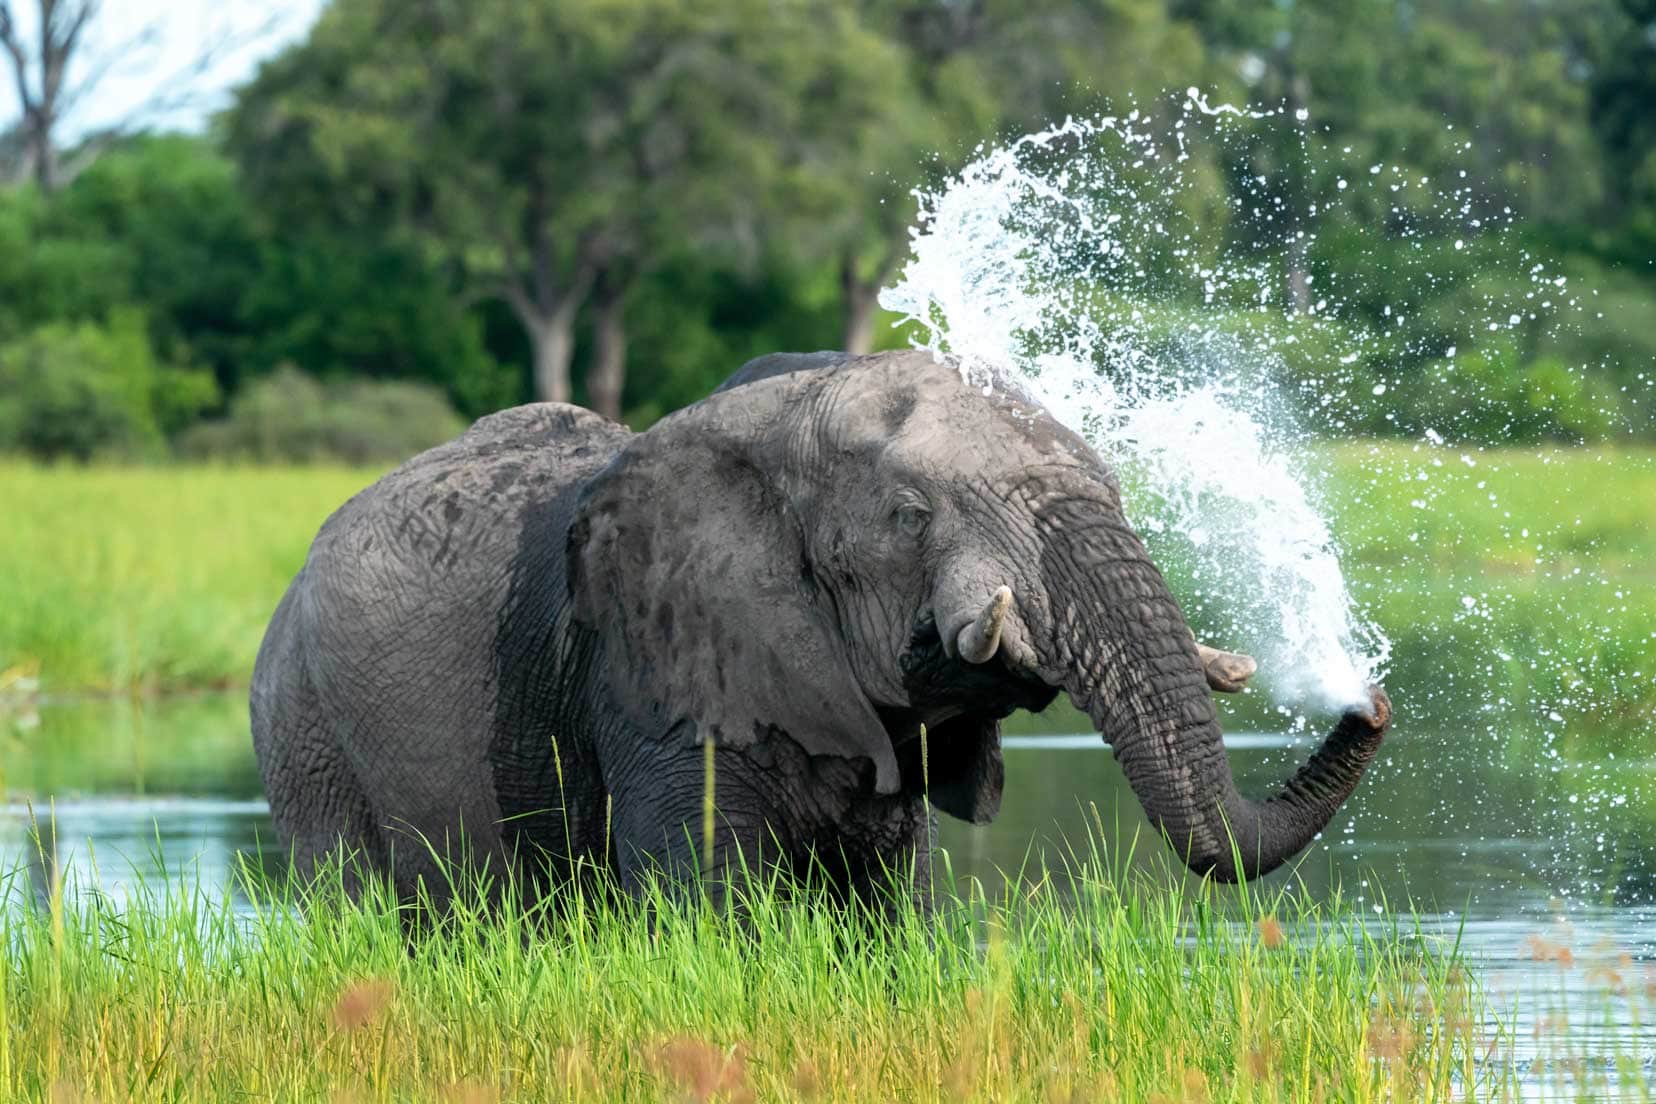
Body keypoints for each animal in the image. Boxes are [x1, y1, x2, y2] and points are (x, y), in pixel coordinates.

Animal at [248, 352, 1384, 907]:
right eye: (912, 516)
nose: (1368, 697)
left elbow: (891, 908)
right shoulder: (659, 672)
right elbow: (710, 905)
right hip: (303, 731)